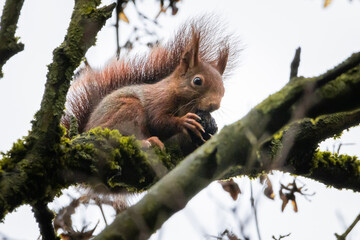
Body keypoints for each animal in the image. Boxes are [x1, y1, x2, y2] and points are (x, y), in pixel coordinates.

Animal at [62, 17, 236, 151]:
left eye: (224, 88)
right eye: (197, 81)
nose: (215, 105)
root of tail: (85, 130)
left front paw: (209, 130)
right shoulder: (159, 99)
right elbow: (157, 121)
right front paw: (184, 121)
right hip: (126, 109)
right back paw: (147, 142)